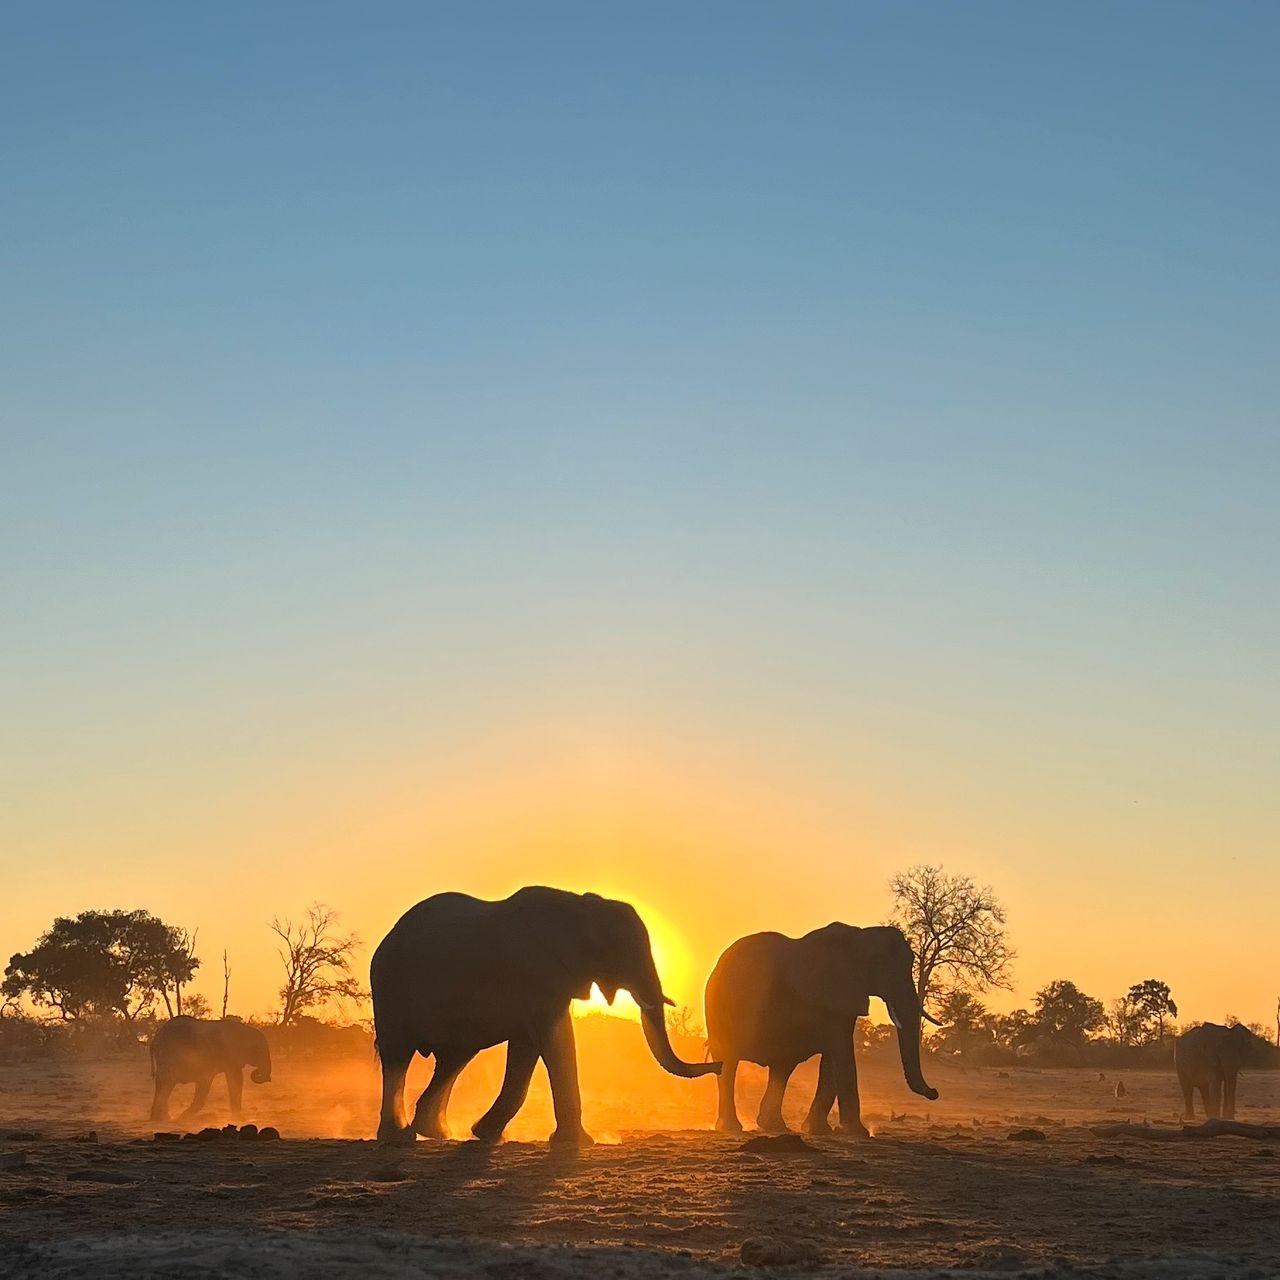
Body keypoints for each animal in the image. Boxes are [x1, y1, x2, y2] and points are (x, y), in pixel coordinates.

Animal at [370, 886, 721, 1146]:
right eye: (619, 951)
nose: (718, 1065)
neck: (581, 906)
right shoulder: (536, 973)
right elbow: (554, 1041)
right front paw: (576, 1143)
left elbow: (527, 1048)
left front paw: (485, 1135)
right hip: (390, 987)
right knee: (398, 1055)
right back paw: (399, 1138)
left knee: (454, 1059)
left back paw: (438, 1133)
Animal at [704, 923, 939, 1137]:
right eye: (879, 963)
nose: (934, 1092)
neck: (859, 936)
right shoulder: (830, 992)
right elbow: (841, 1053)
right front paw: (857, 1133)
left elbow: (831, 1059)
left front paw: (819, 1130)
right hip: (718, 1012)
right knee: (729, 1062)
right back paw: (732, 1127)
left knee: (782, 1067)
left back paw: (774, 1126)